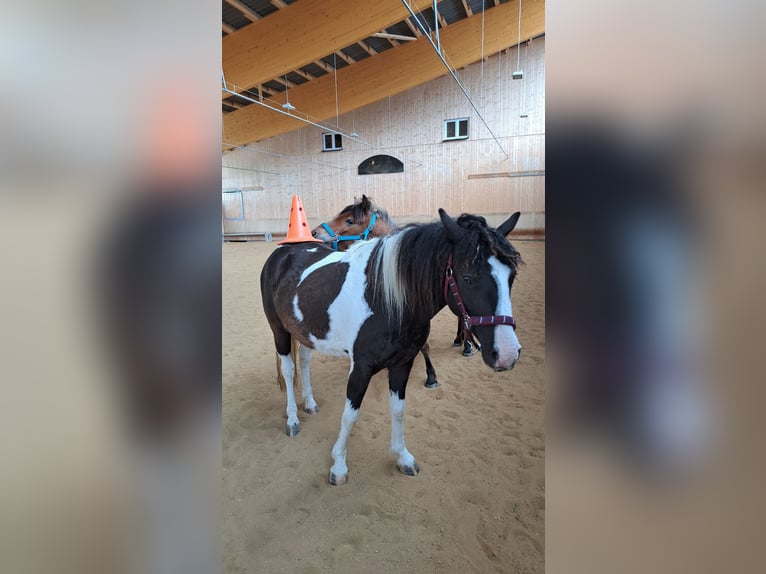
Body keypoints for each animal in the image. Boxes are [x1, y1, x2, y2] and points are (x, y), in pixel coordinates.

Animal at [262, 208, 520, 486]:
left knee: (305, 361)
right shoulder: (360, 369)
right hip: (279, 331)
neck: (386, 299)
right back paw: (292, 419)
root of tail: (283, 253)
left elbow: (398, 410)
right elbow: (350, 416)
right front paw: (339, 465)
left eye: (512, 276)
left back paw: (309, 403)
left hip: (304, 331)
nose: (507, 354)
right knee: (289, 371)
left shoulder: (402, 364)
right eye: (468, 278)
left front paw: (402, 457)